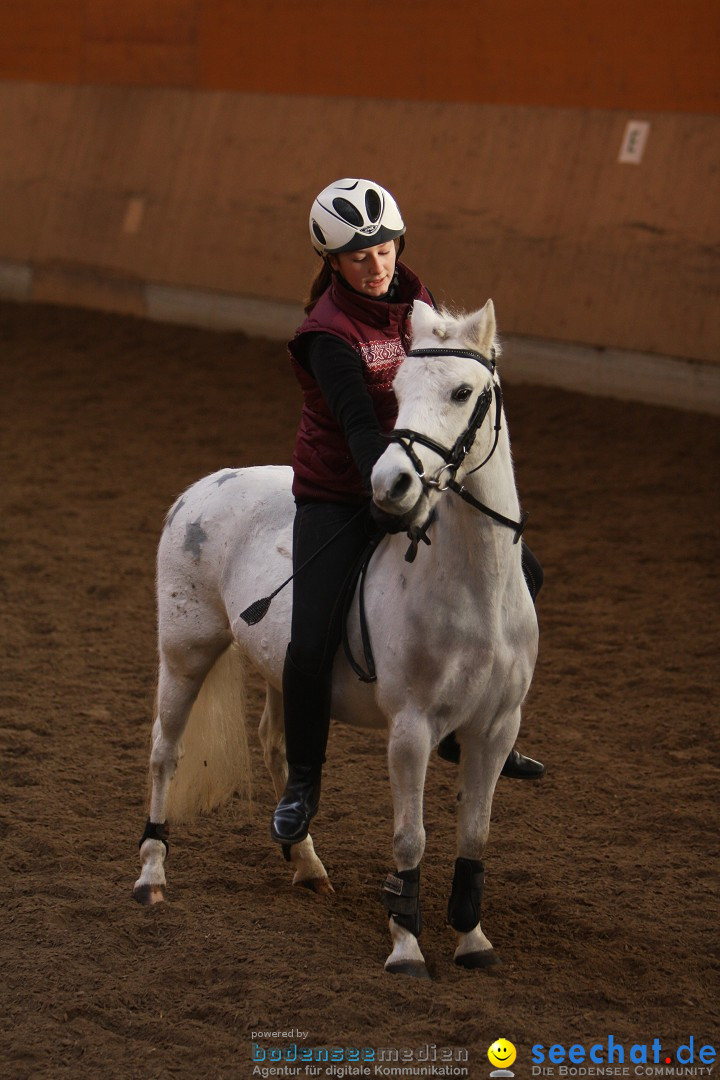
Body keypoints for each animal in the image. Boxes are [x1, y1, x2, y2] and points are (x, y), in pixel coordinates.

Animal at [133, 302, 539, 980]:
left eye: (462, 393)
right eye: (398, 392)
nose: (393, 483)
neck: (474, 590)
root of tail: (203, 486)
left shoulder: (495, 728)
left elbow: (475, 834)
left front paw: (472, 939)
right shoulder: (412, 728)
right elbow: (411, 836)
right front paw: (405, 945)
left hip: (284, 668)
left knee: (280, 747)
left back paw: (304, 861)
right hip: (185, 653)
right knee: (167, 751)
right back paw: (151, 875)